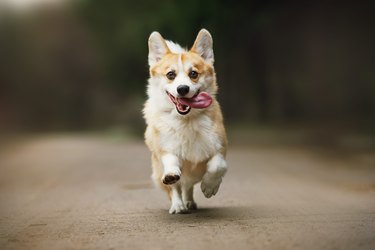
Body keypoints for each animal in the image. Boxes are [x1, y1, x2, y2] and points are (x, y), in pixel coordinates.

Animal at [143, 28, 226, 213]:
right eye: (170, 74)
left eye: (193, 73)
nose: (182, 89)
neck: (187, 119)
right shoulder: (166, 149)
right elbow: (171, 163)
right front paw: (172, 176)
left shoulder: (220, 148)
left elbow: (217, 166)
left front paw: (209, 186)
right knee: (176, 187)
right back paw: (178, 205)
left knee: (188, 186)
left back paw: (189, 202)